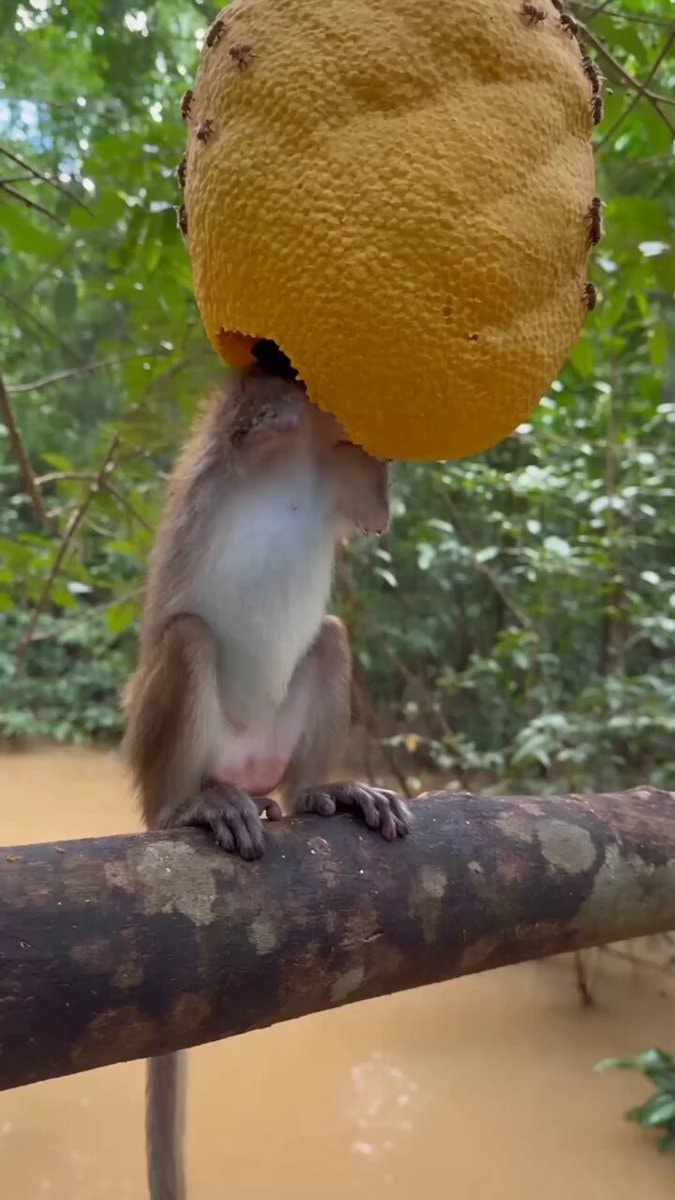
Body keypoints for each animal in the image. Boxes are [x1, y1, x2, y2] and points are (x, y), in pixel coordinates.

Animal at [122, 366, 410, 1200]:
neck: (307, 453)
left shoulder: (341, 477)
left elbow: (371, 511)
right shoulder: (237, 438)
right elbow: (252, 421)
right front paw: (286, 385)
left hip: (274, 745)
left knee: (331, 638)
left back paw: (320, 794)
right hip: (167, 749)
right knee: (188, 638)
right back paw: (191, 806)